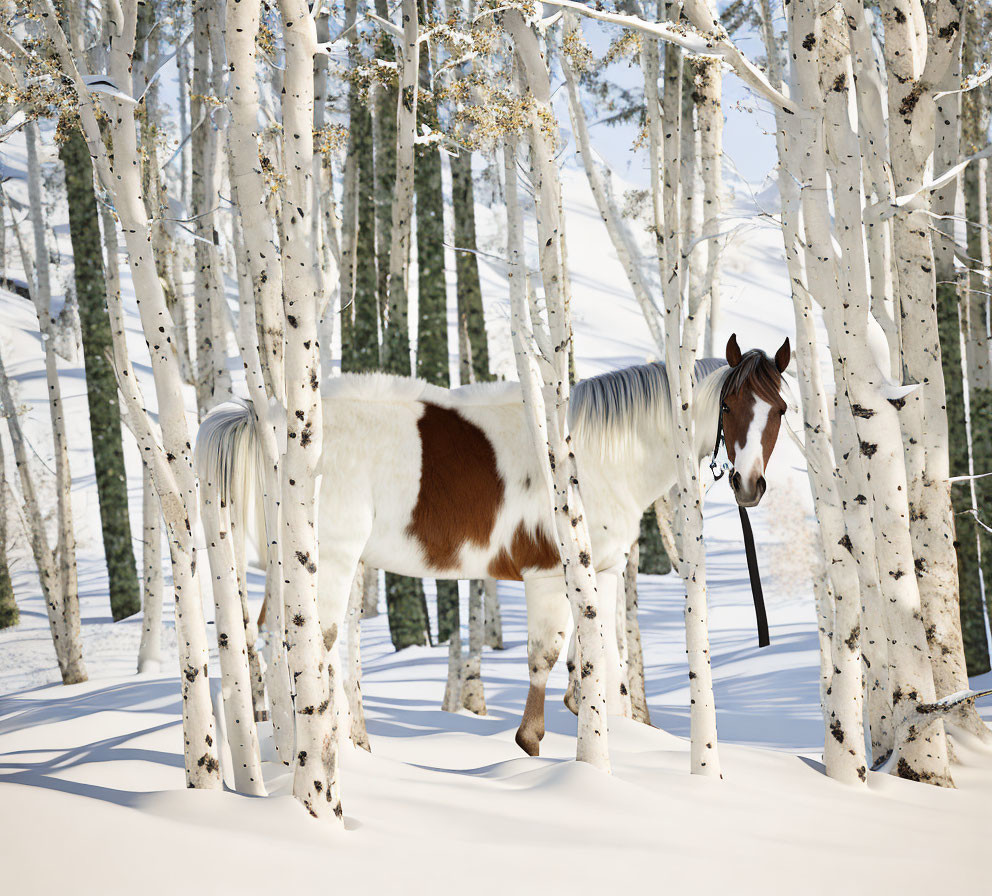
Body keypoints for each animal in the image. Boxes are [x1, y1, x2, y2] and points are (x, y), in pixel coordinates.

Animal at [196, 332, 792, 752]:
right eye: (729, 406)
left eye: (780, 411)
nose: (750, 485)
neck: (590, 452)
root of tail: (269, 421)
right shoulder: (549, 575)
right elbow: (546, 655)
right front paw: (531, 742)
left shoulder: (599, 571)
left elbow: (599, 659)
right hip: (330, 561)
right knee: (307, 644)